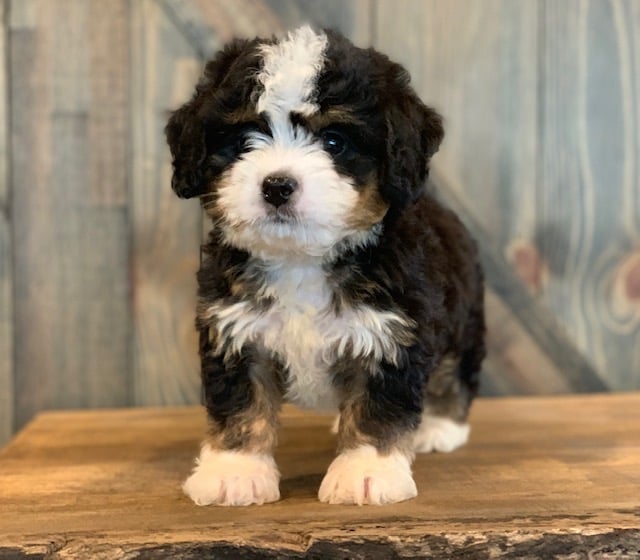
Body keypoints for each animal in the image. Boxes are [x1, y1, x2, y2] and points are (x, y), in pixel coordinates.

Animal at [165, 27, 484, 508]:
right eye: (243, 139)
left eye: (334, 141)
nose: (277, 185)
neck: (302, 258)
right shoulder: (235, 329)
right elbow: (240, 402)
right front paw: (234, 470)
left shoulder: (391, 331)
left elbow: (377, 406)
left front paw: (367, 471)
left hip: (464, 319)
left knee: (456, 370)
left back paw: (441, 425)